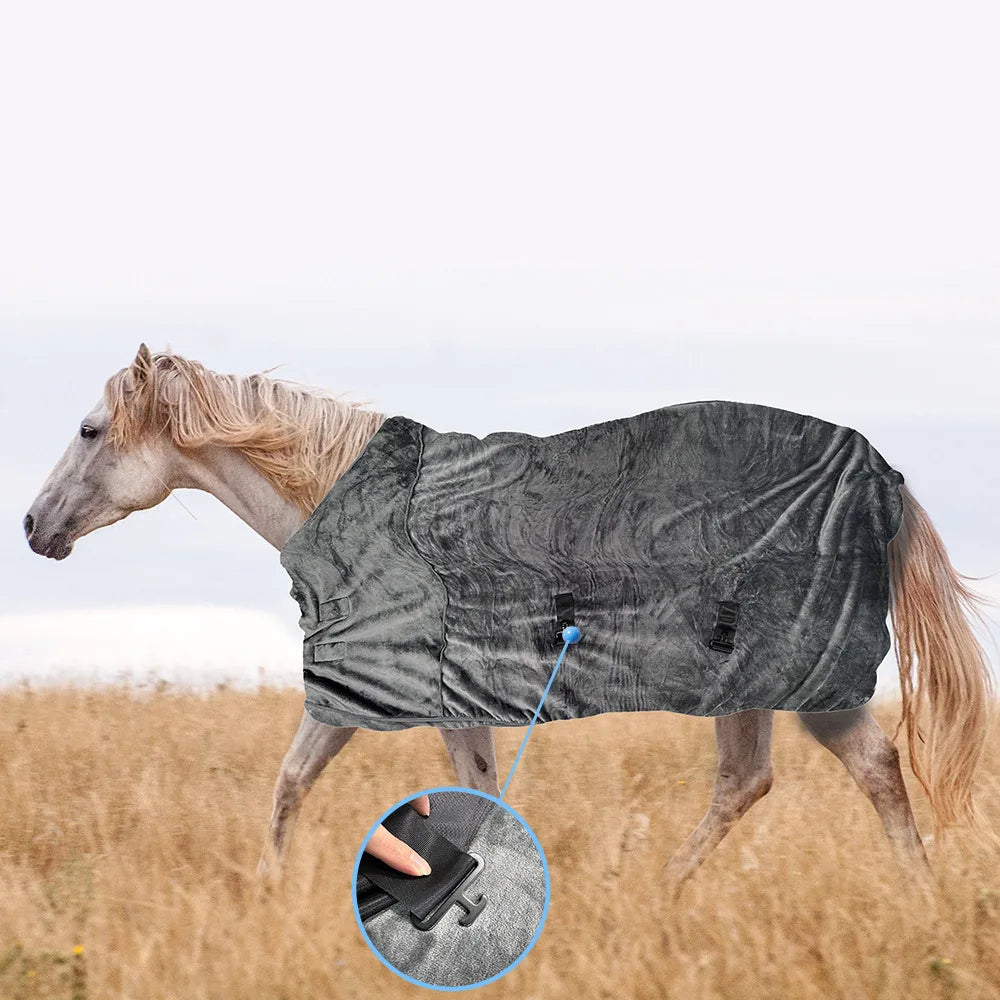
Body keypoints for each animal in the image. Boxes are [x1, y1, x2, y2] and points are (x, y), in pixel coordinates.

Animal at [23, 345, 994, 894]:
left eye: (90, 430)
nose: (33, 527)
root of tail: (878, 473)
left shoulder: (409, 693)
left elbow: (437, 793)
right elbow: (297, 783)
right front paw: (266, 894)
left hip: (796, 678)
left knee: (858, 770)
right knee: (760, 780)